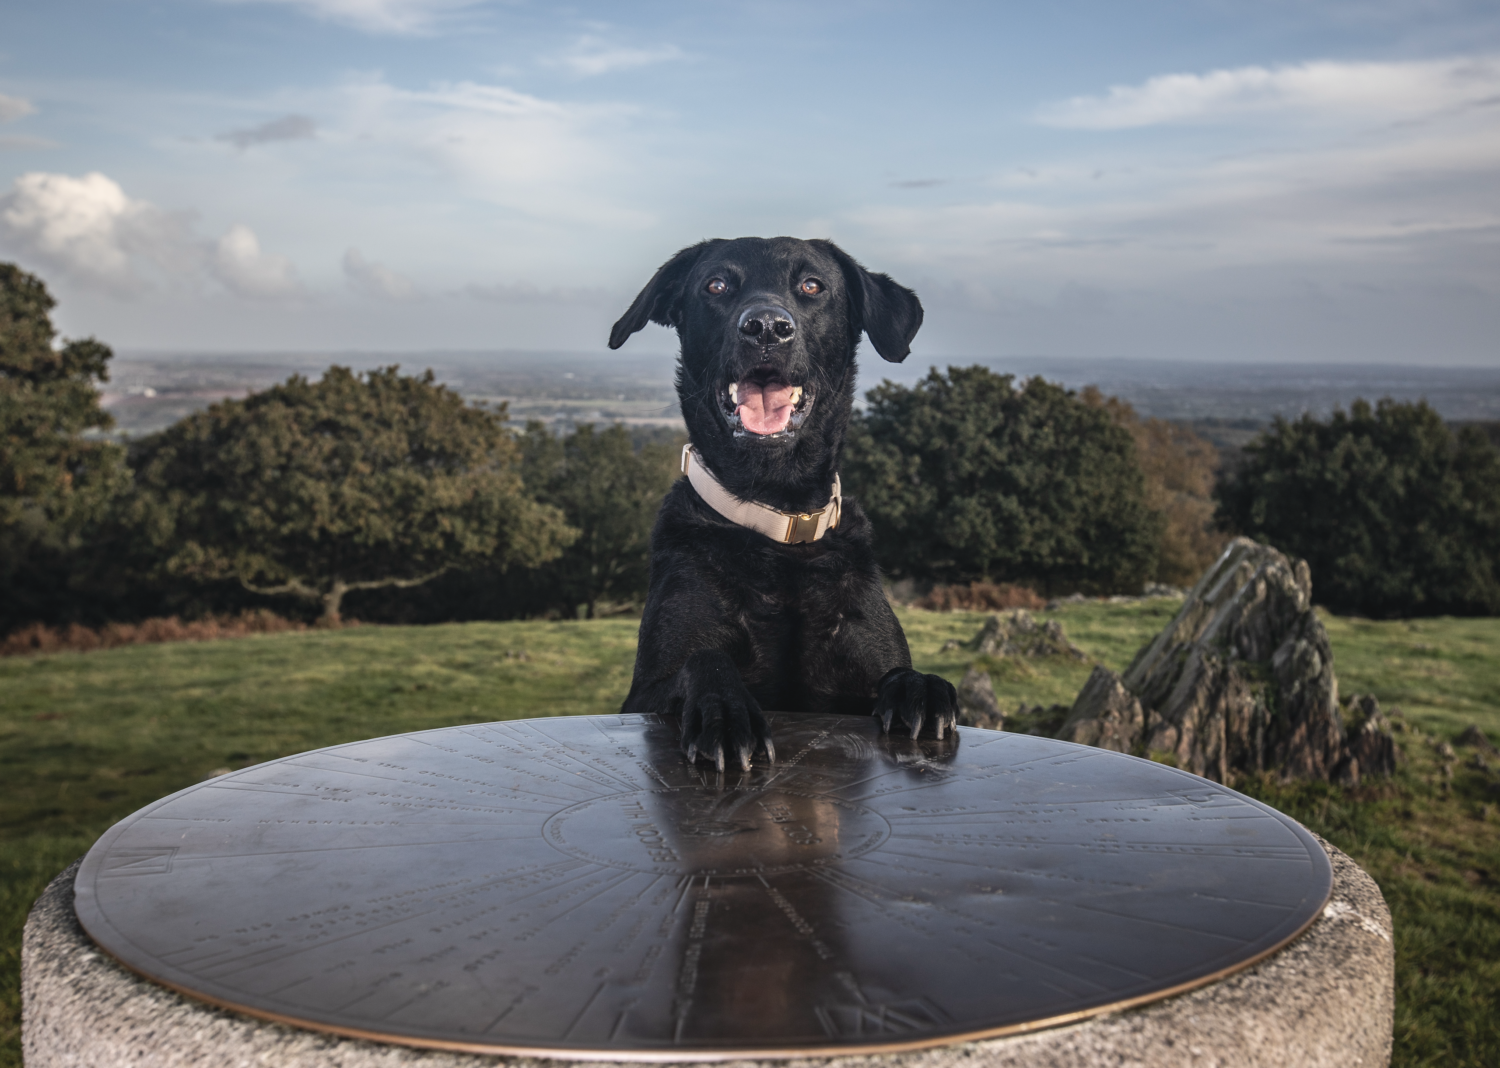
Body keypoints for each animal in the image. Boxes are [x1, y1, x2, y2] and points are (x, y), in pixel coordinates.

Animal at [610, 237, 958, 770]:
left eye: (812, 286)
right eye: (717, 285)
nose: (766, 327)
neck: (779, 522)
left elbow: (894, 672)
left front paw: (918, 686)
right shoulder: (644, 694)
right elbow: (703, 659)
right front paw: (725, 710)